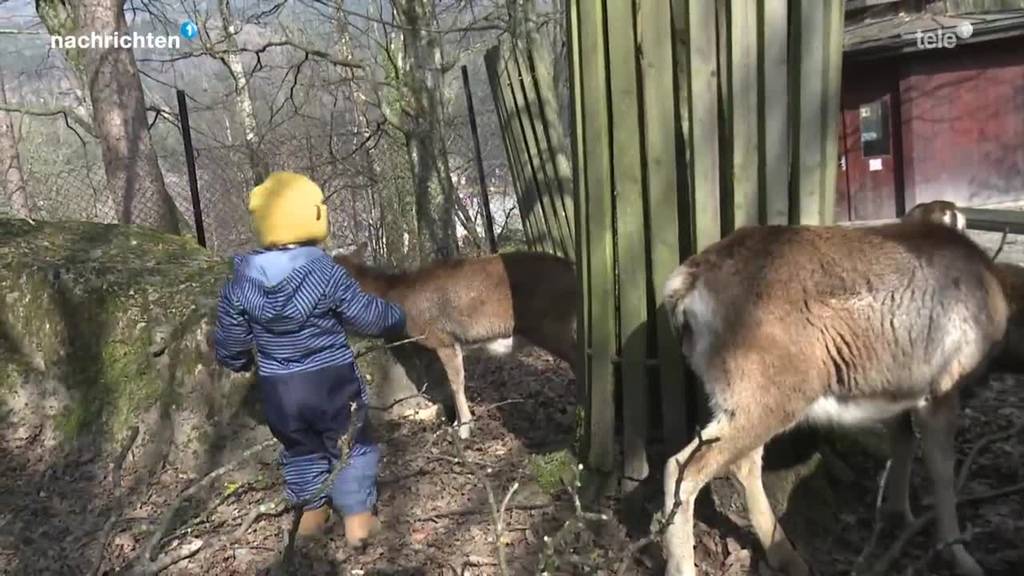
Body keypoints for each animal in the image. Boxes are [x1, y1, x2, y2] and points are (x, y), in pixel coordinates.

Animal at [333, 241, 577, 434]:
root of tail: (572, 270)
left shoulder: (443, 338)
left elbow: (455, 383)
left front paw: (464, 429)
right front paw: (455, 424)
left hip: (551, 326)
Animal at [655, 219, 1007, 573]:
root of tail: (684, 284)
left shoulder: (899, 394)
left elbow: (903, 444)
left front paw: (900, 516)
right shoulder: (942, 387)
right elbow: (942, 469)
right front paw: (963, 558)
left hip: (743, 397)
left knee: (743, 463)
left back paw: (789, 557)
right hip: (770, 394)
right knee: (684, 466)